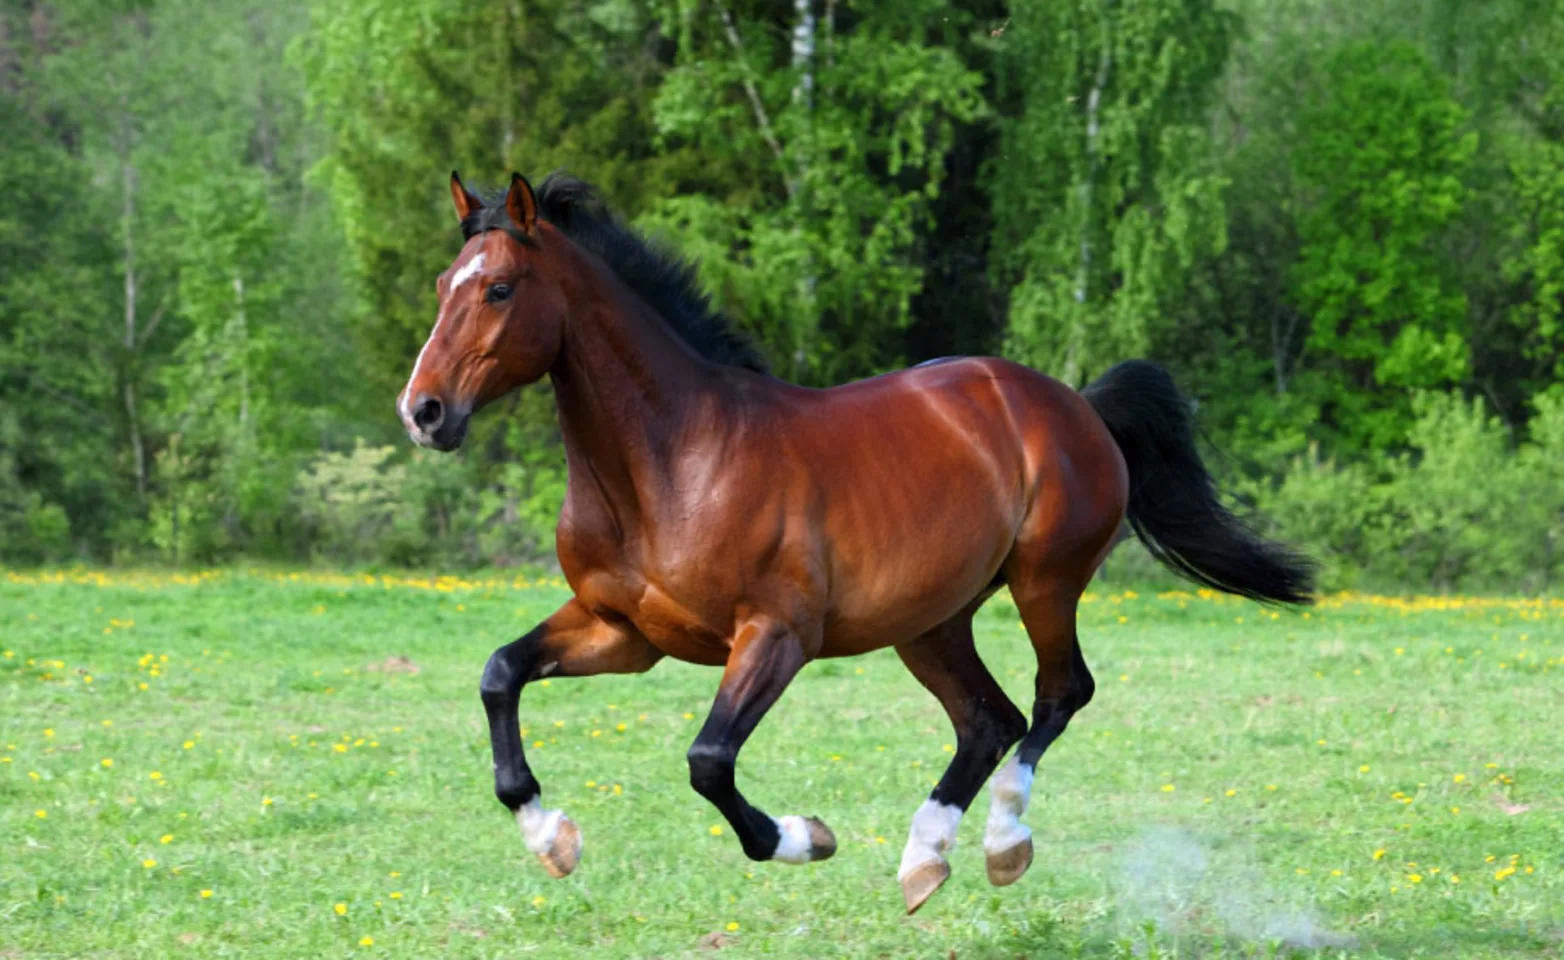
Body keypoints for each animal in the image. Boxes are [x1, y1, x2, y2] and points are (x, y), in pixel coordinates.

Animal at [396, 171, 1314, 913]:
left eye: (501, 288)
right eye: (443, 284)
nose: (424, 413)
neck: (672, 461)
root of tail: (1074, 404)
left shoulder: (776, 636)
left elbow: (708, 760)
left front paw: (806, 837)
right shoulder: (625, 632)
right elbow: (500, 675)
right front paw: (552, 838)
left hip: (1044, 583)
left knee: (1058, 696)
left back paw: (1001, 847)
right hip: (929, 622)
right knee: (989, 718)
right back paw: (923, 862)